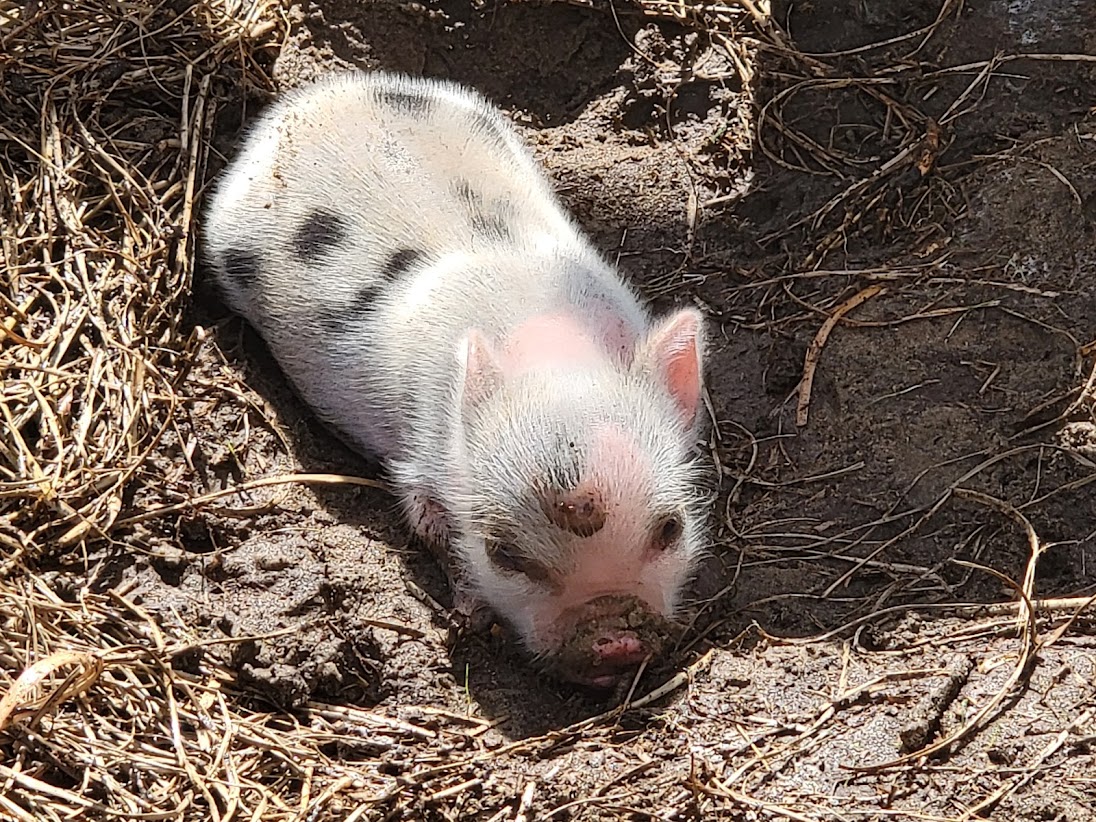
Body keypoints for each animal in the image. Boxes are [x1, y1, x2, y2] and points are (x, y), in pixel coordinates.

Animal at [201, 71, 709, 687]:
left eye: (671, 528)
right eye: (503, 554)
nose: (614, 640)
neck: (551, 358)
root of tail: (308, 99)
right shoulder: (420, 461)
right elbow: (431, 528)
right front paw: (469, 615)